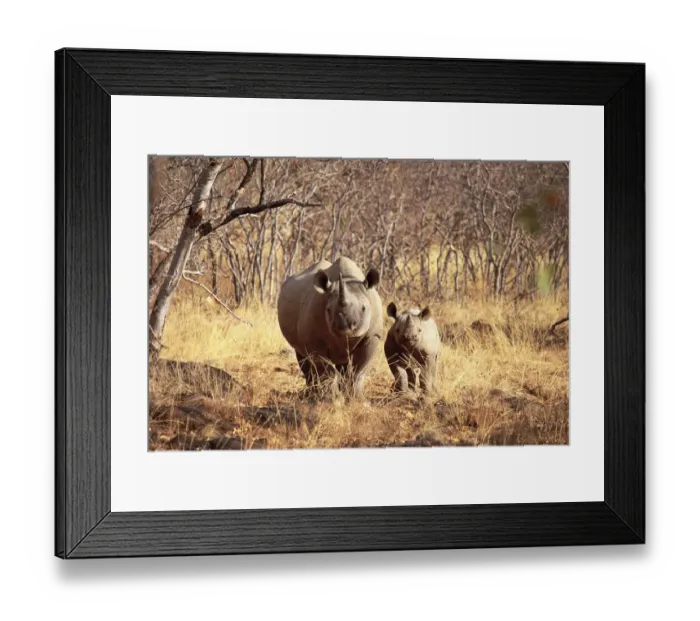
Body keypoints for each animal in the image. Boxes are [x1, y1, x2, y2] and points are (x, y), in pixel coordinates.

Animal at [277, 256, 383, 400]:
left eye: (364, 308)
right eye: (328, 310)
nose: (345, 327)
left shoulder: (372, 336)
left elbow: (358, 369)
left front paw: (357, 399)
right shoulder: (313, 338)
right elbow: (326, 371)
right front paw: (332, 399)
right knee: (303, 357)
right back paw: (311, 396)